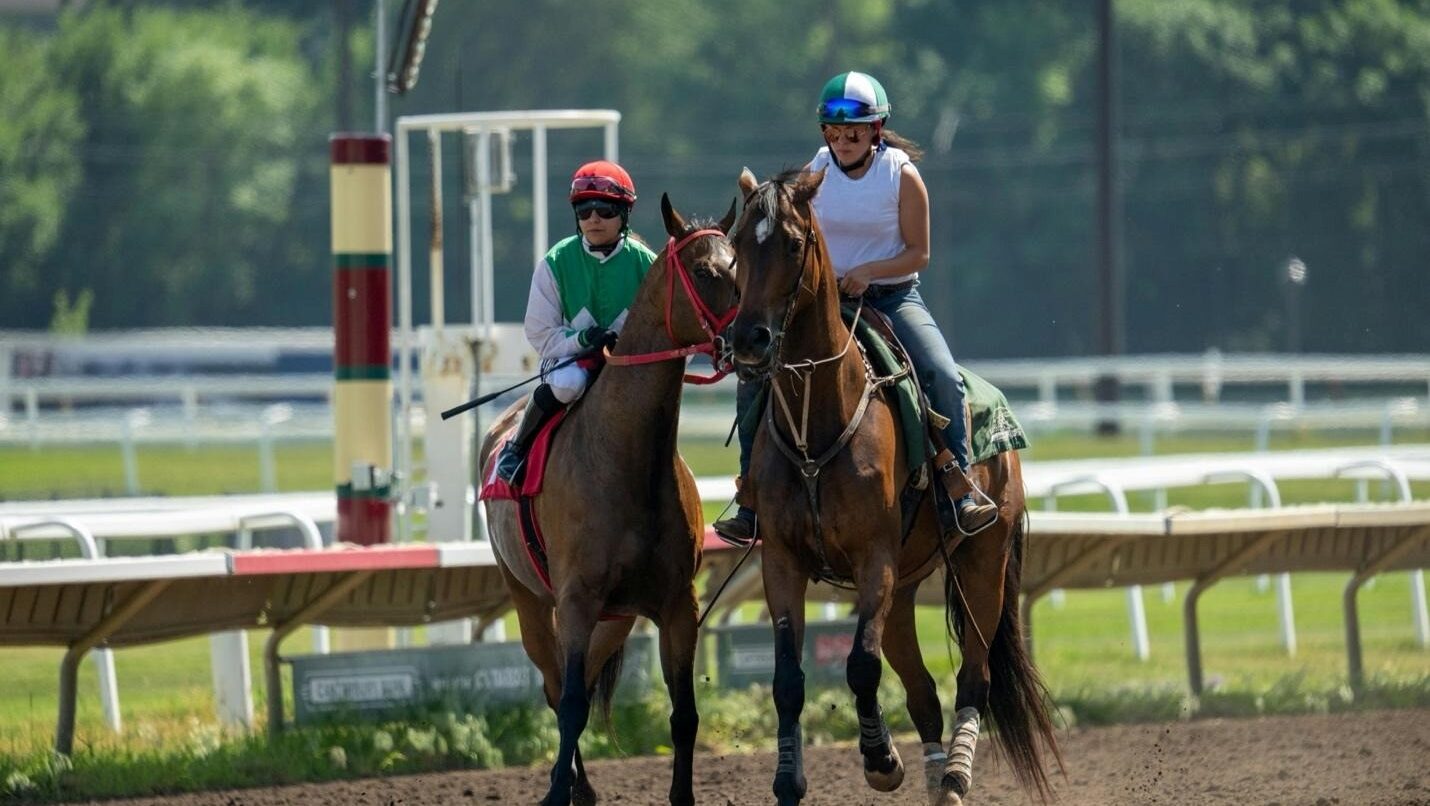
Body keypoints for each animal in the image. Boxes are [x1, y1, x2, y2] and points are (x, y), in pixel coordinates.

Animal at [476, 195, 738, 806]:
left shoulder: (676, 604)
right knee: (556, 688)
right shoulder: (575, 599)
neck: (627, 460)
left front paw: (682, 797)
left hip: (617, 616)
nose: (758, 337)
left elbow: (684, 715)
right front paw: (556, 793)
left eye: (739, 267)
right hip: (529, 600)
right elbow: (571, 703)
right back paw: (577, 786)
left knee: (586, 680)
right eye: (701, 271)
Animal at [725, 168, 1062, 806]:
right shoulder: (783, 559)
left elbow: (860, 664)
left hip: (982, 563)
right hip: (905, 588)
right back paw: (936, 776)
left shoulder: (873, 558)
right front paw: (788, 779)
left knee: (973, 677)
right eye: (736, 246)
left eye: (792, 242)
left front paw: (881, 760)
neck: (818, 424)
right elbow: (787, 678)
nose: (749, 340)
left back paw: (954, 776)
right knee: (923, 690)